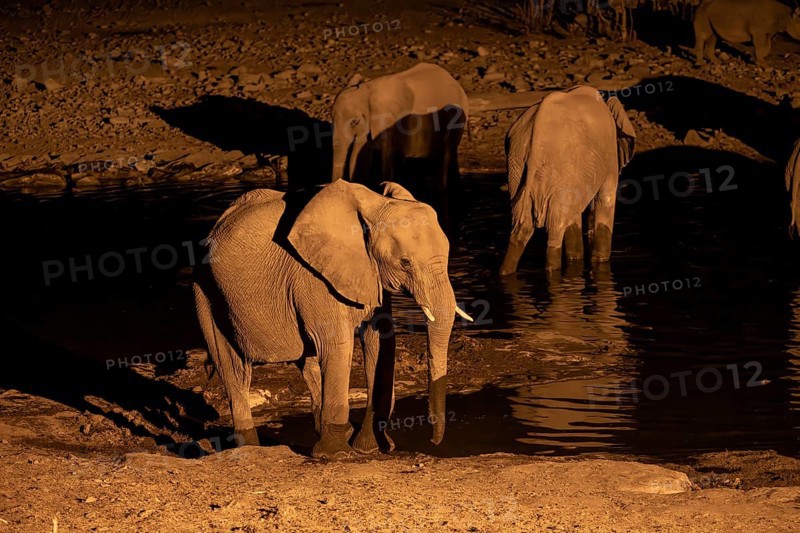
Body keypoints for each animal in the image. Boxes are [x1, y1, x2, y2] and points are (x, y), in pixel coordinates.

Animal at [193, 179, 473, 459]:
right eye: (405, 263)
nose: (433, 442)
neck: (374, 203)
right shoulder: (313, 276)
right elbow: (338, 345)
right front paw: (338, 454)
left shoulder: (370, 274)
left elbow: (379, 342)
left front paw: (370, 448)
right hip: (206, 290)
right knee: (233, 368)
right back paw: (251, 447)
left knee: (308, 363)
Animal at [330, 63, 469, 209]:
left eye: (354, 122)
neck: (367, 90)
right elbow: (360, 156)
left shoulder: (391, 121)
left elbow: (386, 156)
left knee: (446, 153)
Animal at [499, 85, 636, 275]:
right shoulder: (608, 158)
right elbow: (605, 198)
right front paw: (599, 260)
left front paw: (576, 259)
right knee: (555, 228)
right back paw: (552, 268)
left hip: (517, 164)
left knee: (521, 226)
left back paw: (504, 272)